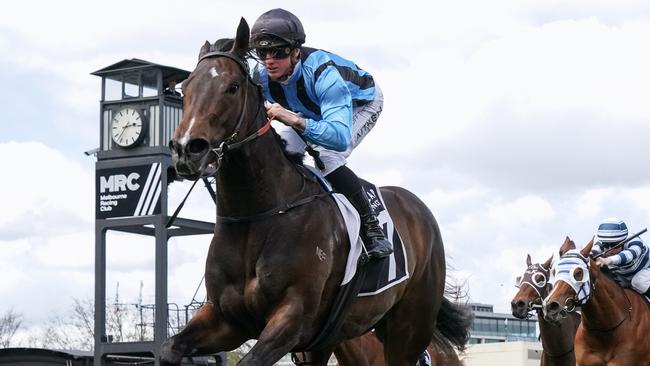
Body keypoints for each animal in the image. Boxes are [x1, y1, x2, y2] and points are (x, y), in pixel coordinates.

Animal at [159, 19, 458, 366]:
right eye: (185, 88)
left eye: (232, 87)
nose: (186, 149)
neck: (257, 215)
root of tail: (418, 209)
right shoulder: (226, 319)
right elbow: (169, 348)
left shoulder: (294, 318)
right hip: (339, 335)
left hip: (409, 327)